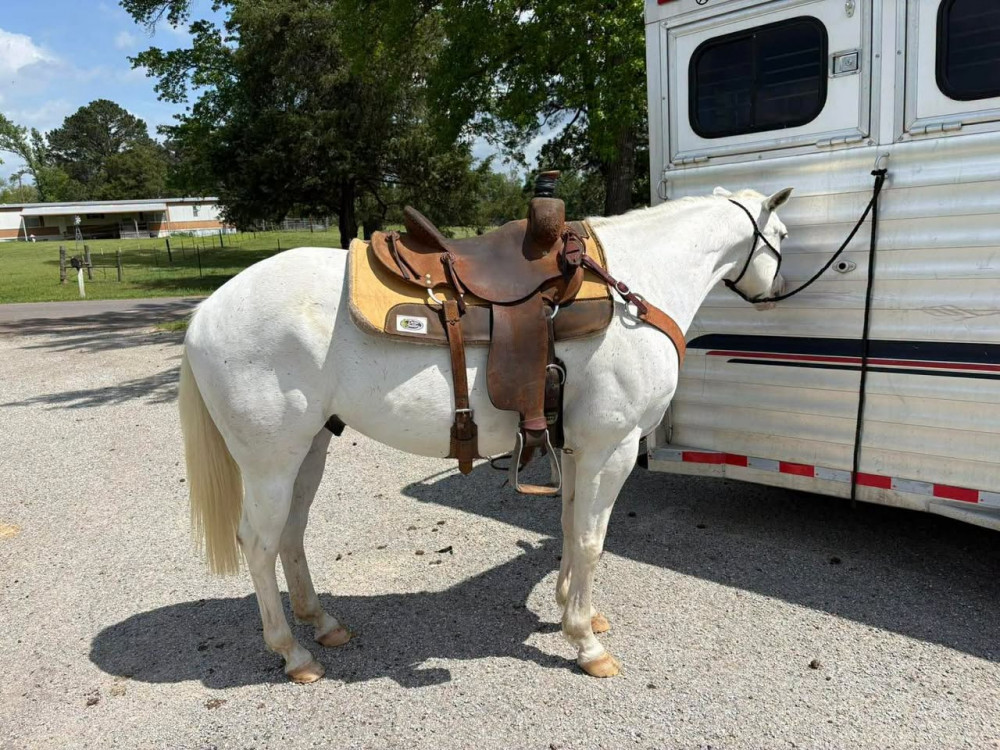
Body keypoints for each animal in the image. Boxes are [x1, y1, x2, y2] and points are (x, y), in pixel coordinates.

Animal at [178, 186, 792, 683]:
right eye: (784, 237)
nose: (778, 292)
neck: (636, 288)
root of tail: (206, 311)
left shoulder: (577, 448)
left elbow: (570, 527)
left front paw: (572, 608)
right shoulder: (610, 448)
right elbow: (591, 541)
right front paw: (585, 643)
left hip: (309, 448)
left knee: (291, 533)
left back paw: (322, 622)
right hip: (269, 461)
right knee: (259, 543)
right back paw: (293, 653)